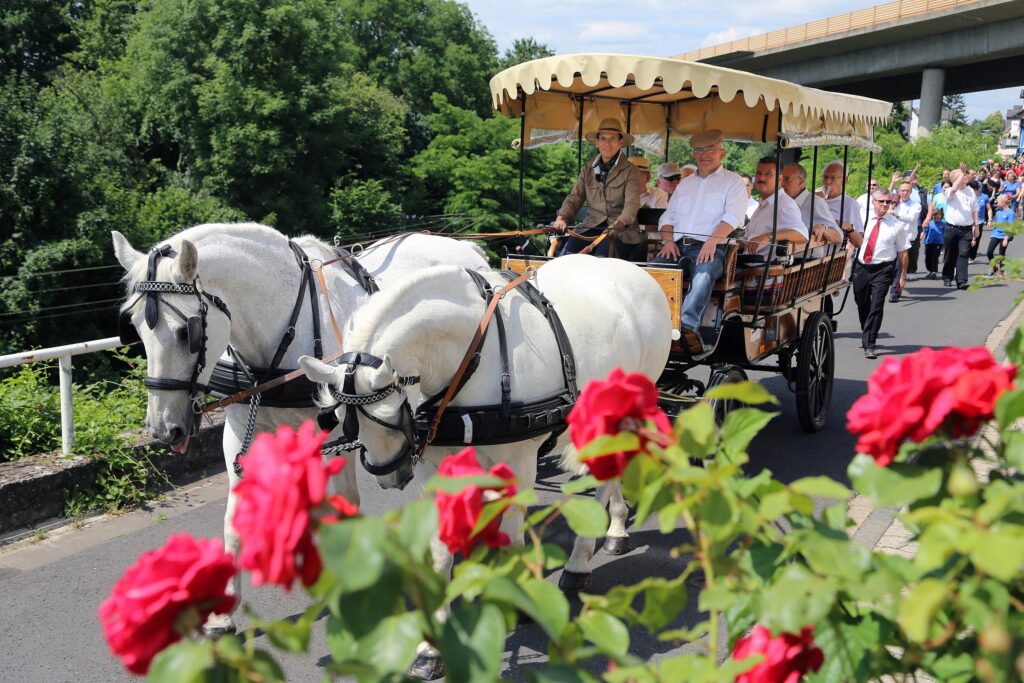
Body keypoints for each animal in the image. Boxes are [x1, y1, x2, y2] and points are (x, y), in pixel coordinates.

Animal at [114, 222, 489, 634]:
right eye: (135, 328)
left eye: (186, 332)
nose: (164, 429)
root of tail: (462, 246)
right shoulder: (239, 432)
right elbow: (235, 519)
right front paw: (223, 611)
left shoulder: (337, 430)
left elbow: (340, 504)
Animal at [299, 254, 675, 679]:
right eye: (339, 419)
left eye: (388, 416)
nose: (389, 475)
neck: (472, 355)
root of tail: (634, 270)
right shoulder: (439, 467)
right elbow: (441, 551)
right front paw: (431, 647)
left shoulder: (519, 464)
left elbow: (511, 538)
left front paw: (511, 597)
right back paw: (613, 528)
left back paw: (583, 558)